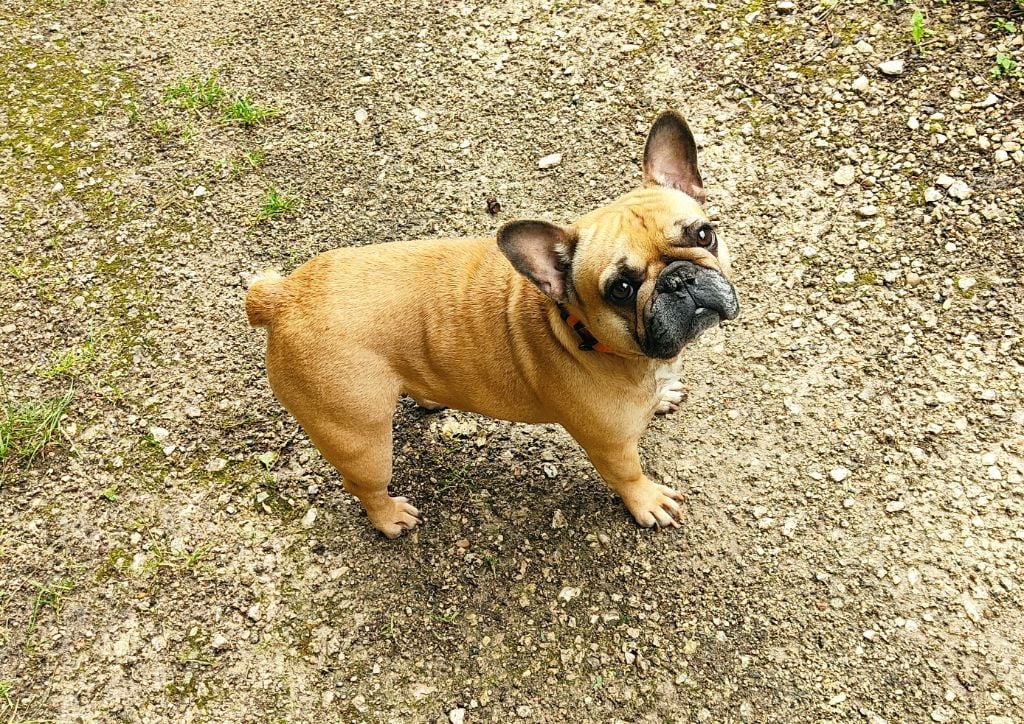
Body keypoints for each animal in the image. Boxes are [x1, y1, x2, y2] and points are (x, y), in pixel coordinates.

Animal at [246, 111, 739, 537]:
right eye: (620, 288)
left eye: (704, 234)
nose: (679, 279)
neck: (580, 331)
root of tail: (281, 297)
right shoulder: (609, 444)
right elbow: (628, 475)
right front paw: (648, 502)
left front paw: (663, 396)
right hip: (360, 439)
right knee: (364, 485)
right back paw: (389, 517)